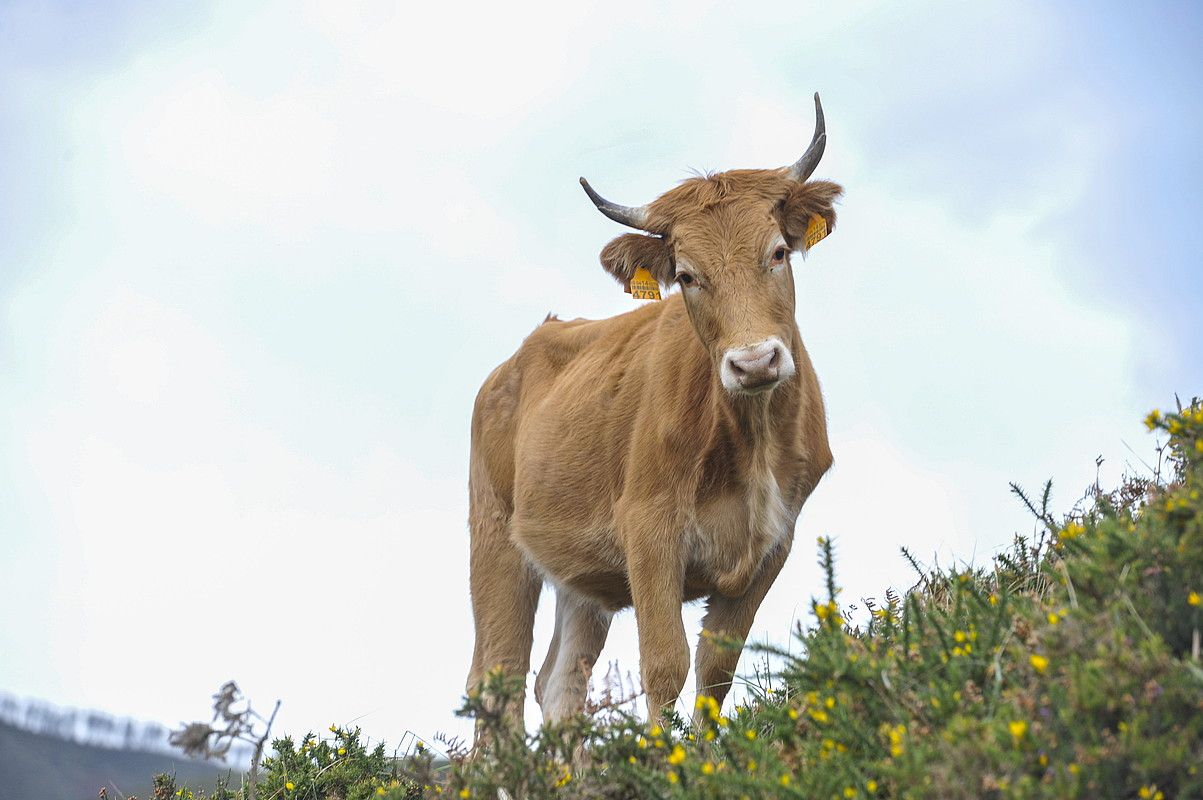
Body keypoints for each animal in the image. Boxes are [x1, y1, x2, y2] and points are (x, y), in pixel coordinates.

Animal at [464, 95, 842, 731]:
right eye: (687, 275)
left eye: (777, 252)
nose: (754, 361)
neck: (751, 438)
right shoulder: (649, 533)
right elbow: (666, 665)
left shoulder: (775, 541)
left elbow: (716, 670)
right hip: (495, 543)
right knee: (497, 681)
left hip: (581, 579)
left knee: (558, 683)